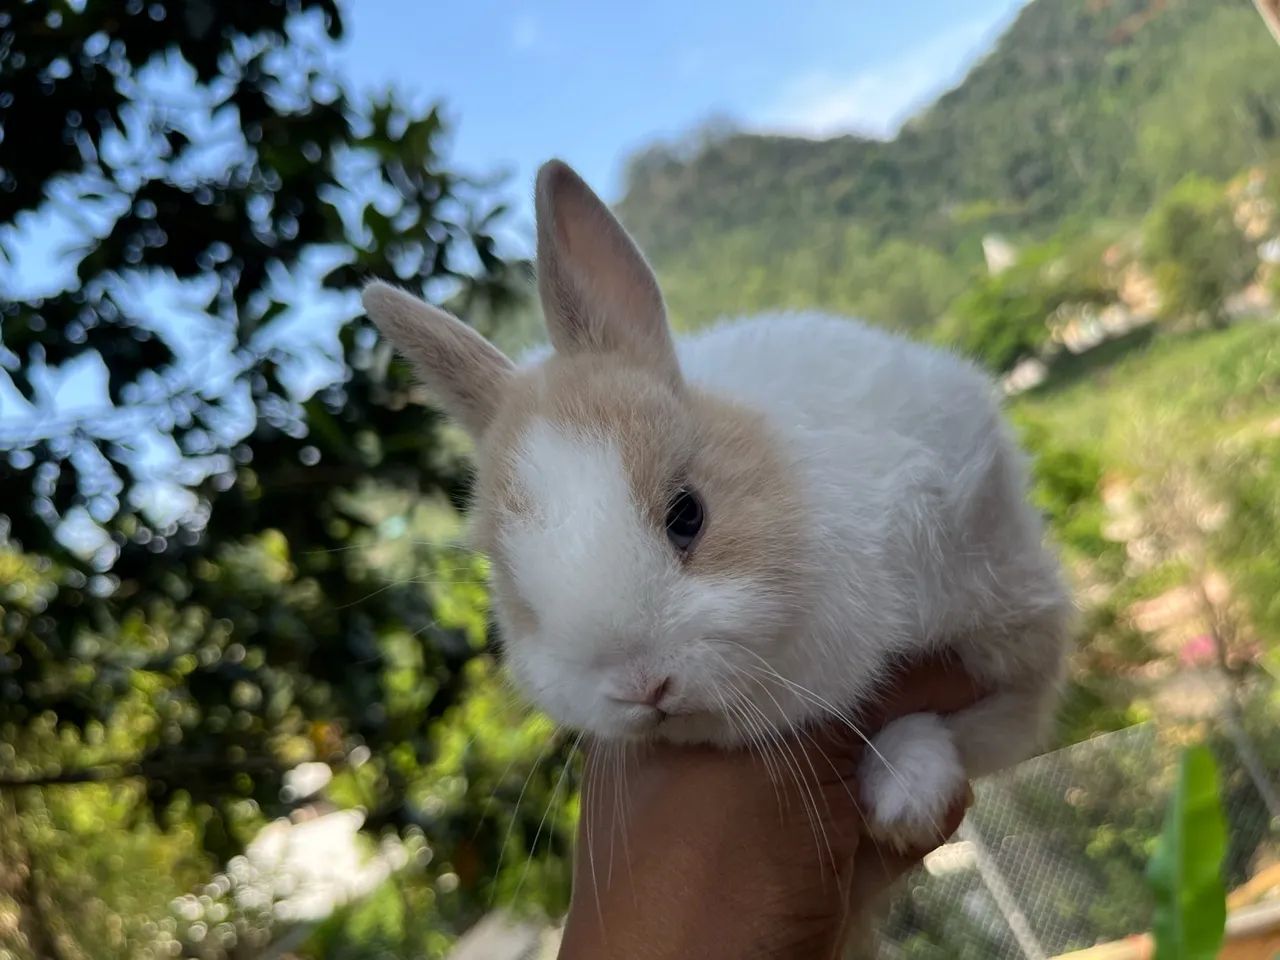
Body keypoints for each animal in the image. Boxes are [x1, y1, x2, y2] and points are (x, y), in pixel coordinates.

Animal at [361, 158, 1073, 854]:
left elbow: (951, 718)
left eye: (688, 515)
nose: (642, 687)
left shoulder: (1005, 620)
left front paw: (906, 801)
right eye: (511, 585)